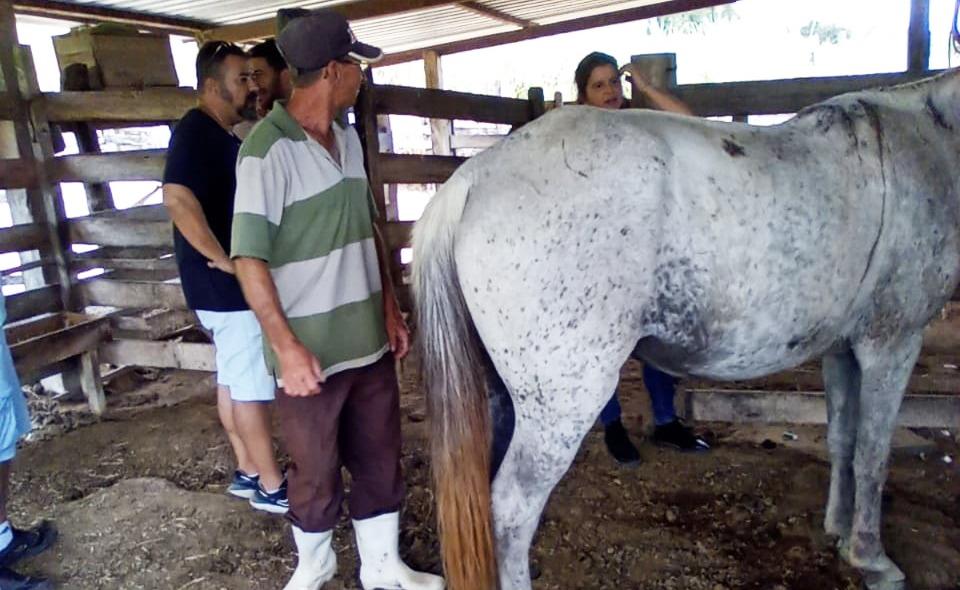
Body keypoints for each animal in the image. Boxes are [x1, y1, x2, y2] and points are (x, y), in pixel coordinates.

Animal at [413, 69, 960, 590]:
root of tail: (473, 177)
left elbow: (843, 441)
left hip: (505, 396)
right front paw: (872, 558)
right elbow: (874, 454)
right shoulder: (892, 343)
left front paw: (839, 532)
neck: (927, 134)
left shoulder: (842, 349)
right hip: (564, 401)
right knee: (509, 512)